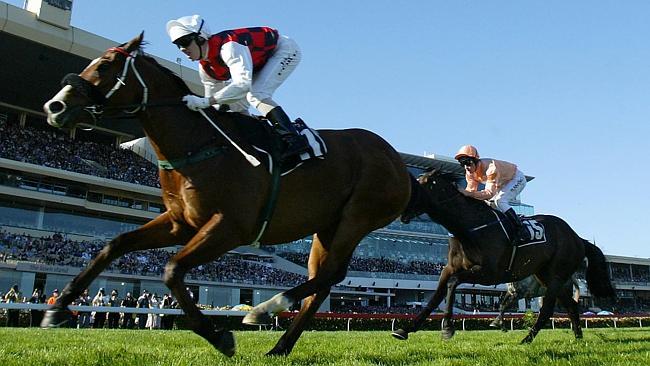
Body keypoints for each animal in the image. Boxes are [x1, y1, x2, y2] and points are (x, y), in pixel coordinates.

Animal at [40, 33, 408, 356]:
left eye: (105, 65)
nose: (54, 106)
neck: (197, 144)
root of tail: (398, 163)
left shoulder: (230, 227)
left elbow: (172, 269)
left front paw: (218, 336)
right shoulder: (180, 223)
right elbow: (114, 244)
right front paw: (57, 309)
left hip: (357, 217)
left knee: (330, 275)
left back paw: (265, 309)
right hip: (327, 227)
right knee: (323, 282)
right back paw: (279, 345)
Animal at [390, 171, 612, 344]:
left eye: (422, 185)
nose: (402, 208)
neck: (468, 227)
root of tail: (577, 237)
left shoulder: (489, 273)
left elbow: (453, 284)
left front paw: (447, 328)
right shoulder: (449, 268)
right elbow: (436, 296)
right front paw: (405, 330)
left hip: (556, 275)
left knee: (548, 309)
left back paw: (526, 340)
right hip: (547, 276)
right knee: (571, 306)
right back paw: (578, 338)